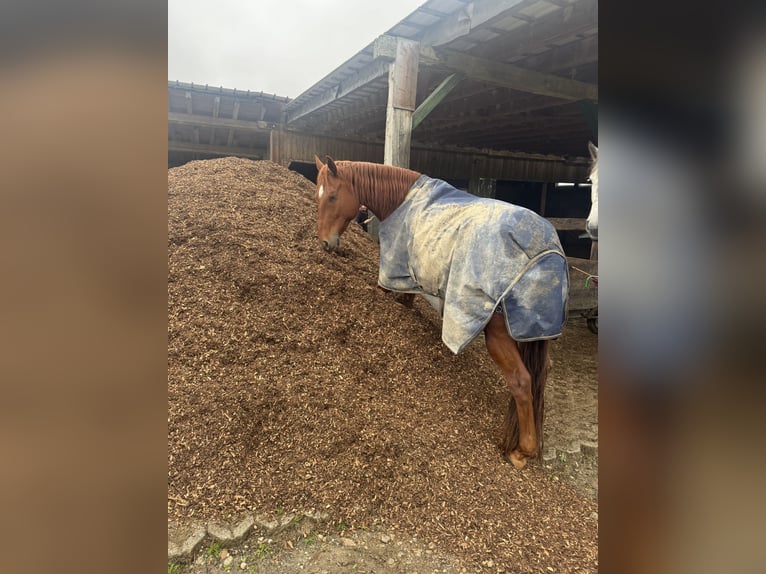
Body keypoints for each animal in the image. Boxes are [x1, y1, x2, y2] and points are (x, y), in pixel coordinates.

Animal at [313, 156, 569, 469]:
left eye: (333, 196)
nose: (325, 243)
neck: (402, 201)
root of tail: (548, 251)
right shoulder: (411, 281)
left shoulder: (391, 275)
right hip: (534, 331)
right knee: (541, 374)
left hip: (498, 333)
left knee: (521, 381)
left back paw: (522, 451)